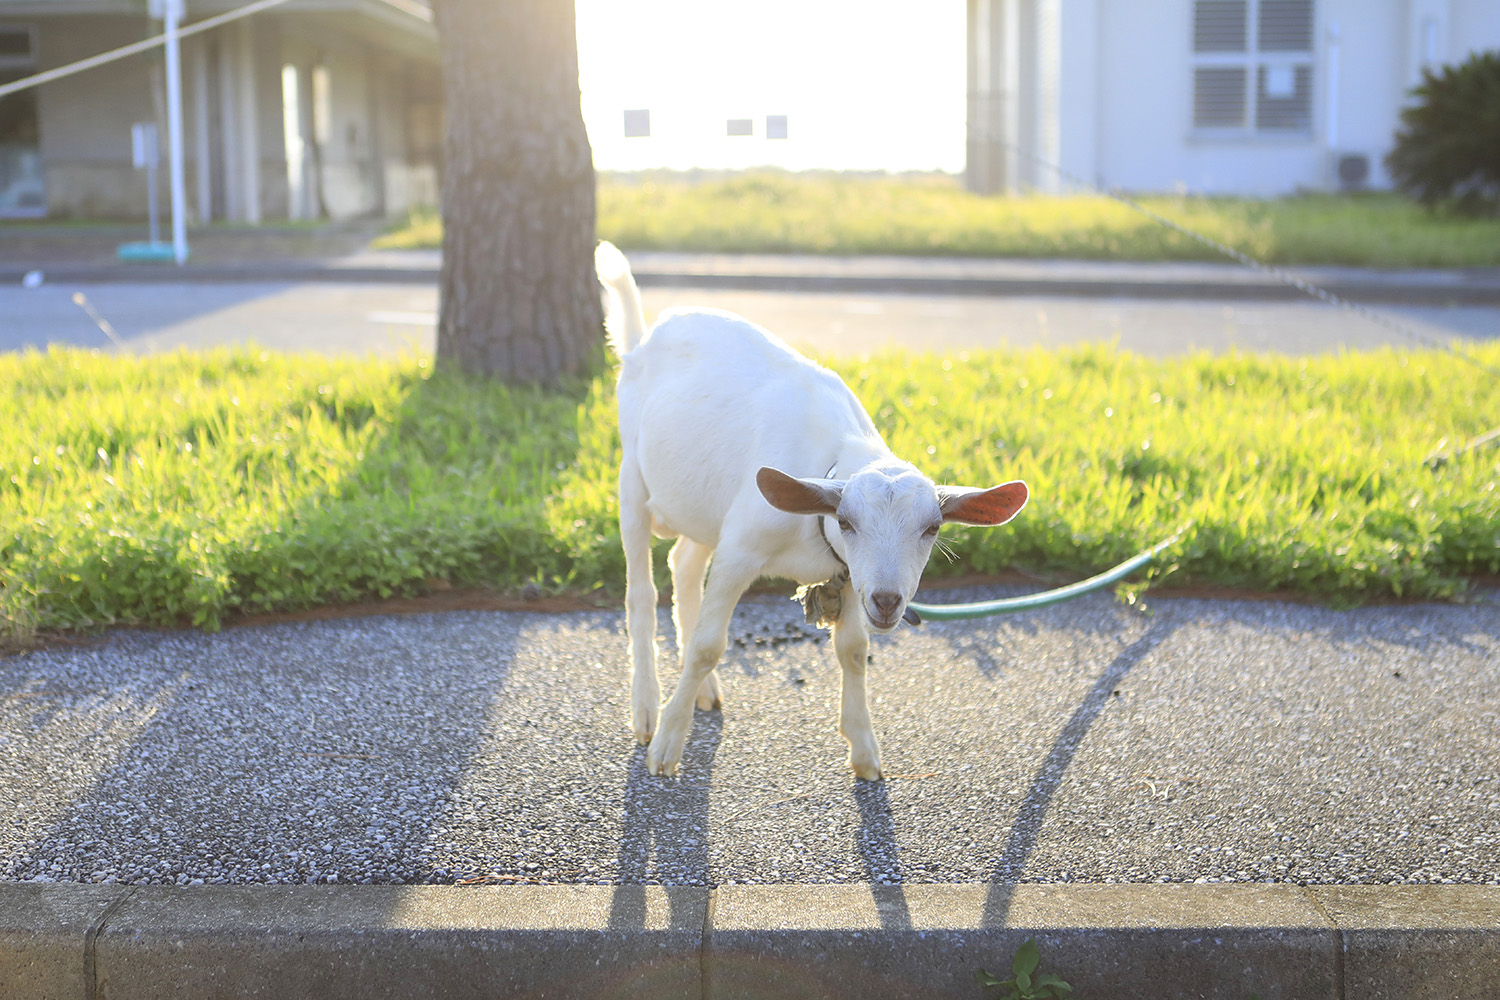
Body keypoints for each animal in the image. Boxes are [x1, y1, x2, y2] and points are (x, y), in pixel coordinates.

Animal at [597, 244, 1032, 779]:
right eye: (846, 521)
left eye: (932, 528)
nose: (888, 601)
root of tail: (644, 339)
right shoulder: (742, 549)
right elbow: (707, 646)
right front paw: (666, 747)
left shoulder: (846, 574)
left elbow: (854, 650)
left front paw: (864, 749)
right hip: (631, 478)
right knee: (641, 592)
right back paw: (646, 710)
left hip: (704, 508)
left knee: (683, 564)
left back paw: (703, 693)